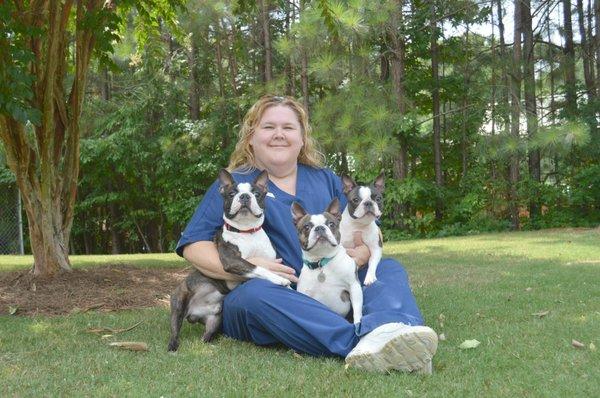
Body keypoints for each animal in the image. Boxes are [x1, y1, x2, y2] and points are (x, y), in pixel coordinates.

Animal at [169, 169, 290, 350]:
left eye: (256, 193)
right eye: (232, 194)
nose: (245, 196)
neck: (248, 233)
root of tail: (193, 314)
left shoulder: (269, 258)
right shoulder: (232, 261)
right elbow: (259, 267)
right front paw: (280, 279)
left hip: (216, 319)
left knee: (206, 336)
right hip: (179, 302)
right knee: (175, 328)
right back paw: (172, 347)